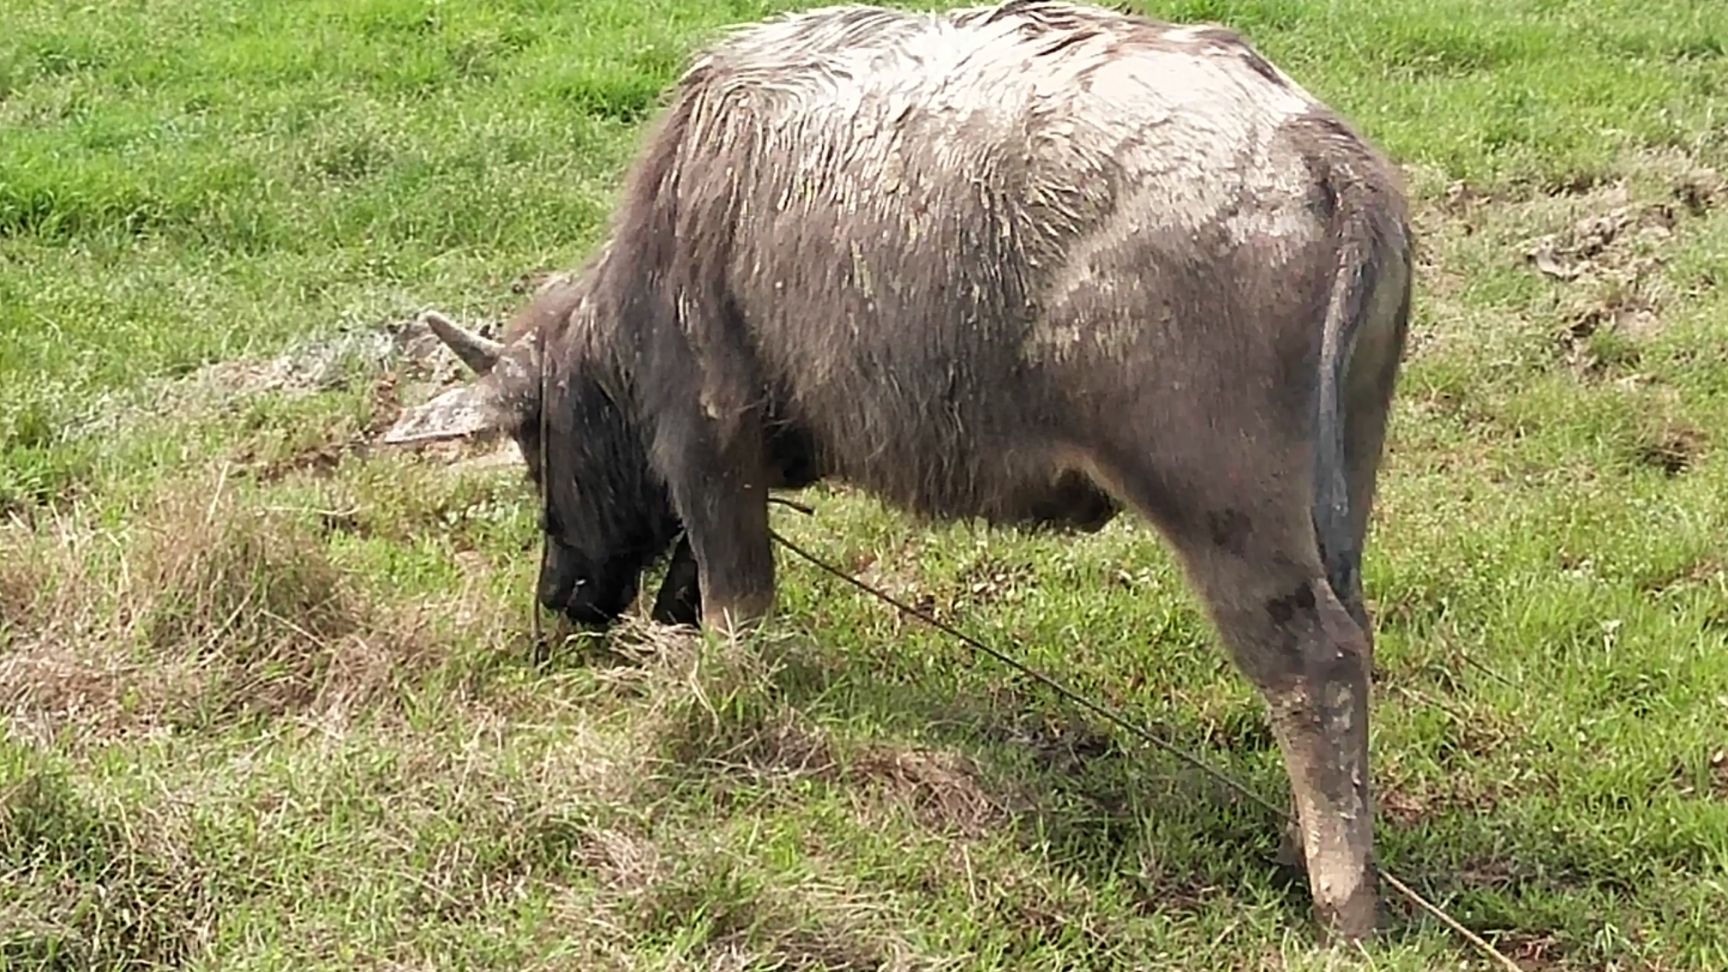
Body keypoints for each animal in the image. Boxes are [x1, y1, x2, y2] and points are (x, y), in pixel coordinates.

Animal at [392, 0, 1416, 940]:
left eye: (538, 449)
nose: (560, 599)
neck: (690, 209)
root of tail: (1316, 148)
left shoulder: (708, 440)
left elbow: (735, 600)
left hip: (1223, 510)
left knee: (1313, 664)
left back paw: (1342, 899)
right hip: (1339, 490)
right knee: (1353, 645)